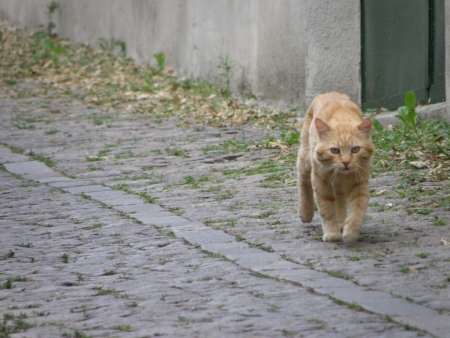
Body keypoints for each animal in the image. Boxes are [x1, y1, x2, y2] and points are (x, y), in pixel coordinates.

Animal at [298, 91, 374, 242]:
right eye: (334, 150)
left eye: (355, 149)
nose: (345, 162)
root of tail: (329, 93)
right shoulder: (321, 184)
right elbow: (327, 210)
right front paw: (332, 233)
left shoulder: (359, 184)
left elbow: (358, 208)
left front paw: (351, 231)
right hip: (306, 159)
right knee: (303, 179)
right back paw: (305, 212)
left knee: (339, 200)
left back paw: (341, 222)